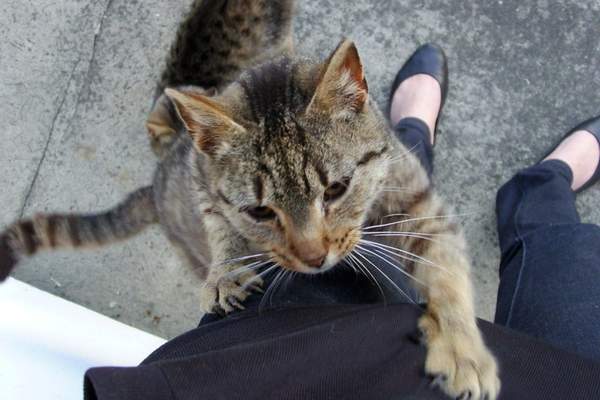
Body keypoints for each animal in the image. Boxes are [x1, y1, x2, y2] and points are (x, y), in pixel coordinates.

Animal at [0, 1, 500, 398]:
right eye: (260, 210)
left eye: (336, 189)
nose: (314, 257)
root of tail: (155, 185)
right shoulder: (203, 178)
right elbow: (220, 222)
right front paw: (227, 271)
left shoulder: (421, 202)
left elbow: (447, 273)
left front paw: (462, 350)